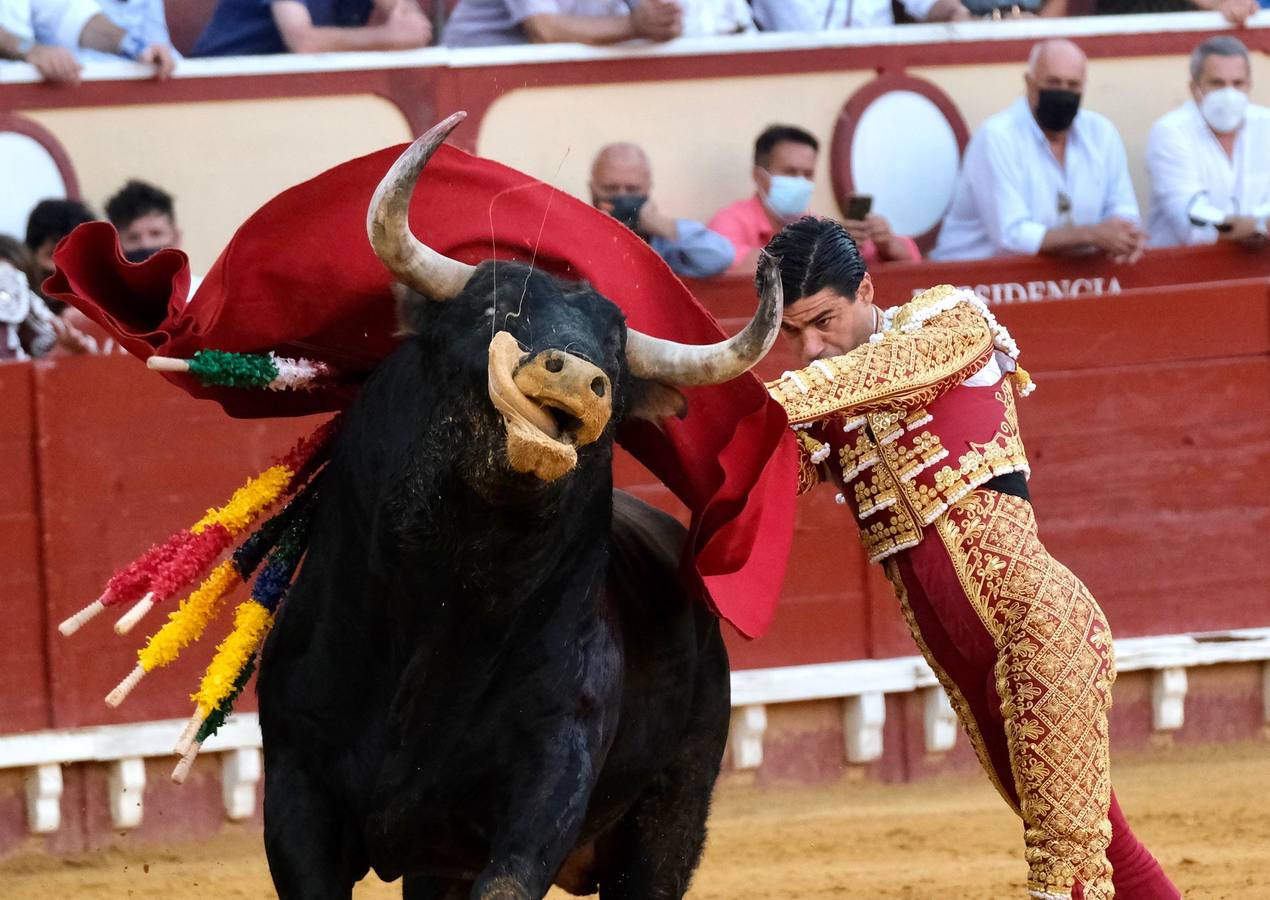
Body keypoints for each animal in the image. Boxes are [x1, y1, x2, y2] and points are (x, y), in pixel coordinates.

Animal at [255, 114, 782, 898]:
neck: (445, 599)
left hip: (672, 815)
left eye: (616, 360)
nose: (580, 378)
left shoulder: (548, 781)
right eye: (498, 309)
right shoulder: (296, 787)